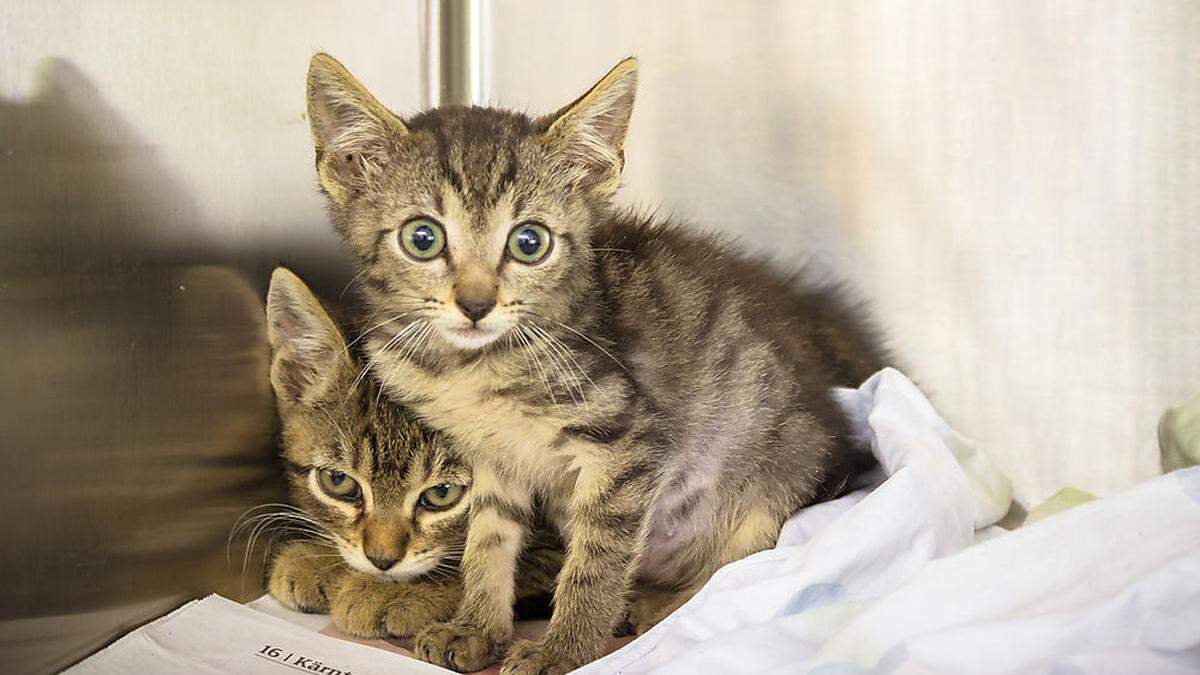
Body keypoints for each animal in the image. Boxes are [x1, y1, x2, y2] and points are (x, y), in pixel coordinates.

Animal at [260, 266, 559, 634]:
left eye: (442, 493)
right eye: (338, 481)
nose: (382, 560)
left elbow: (492, 569)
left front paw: (385, 594)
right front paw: (318, 561)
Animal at [304, 51, 888, 667]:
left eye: (529, 242)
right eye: (423, 238)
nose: (476, 304)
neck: (470, 369)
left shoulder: (629, 446)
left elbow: (596, 562)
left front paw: (562, 652)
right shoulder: (491, 460)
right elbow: (487, 541)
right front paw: (476, 627)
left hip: (775, 481)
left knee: (740, 574)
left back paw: (662, 608)